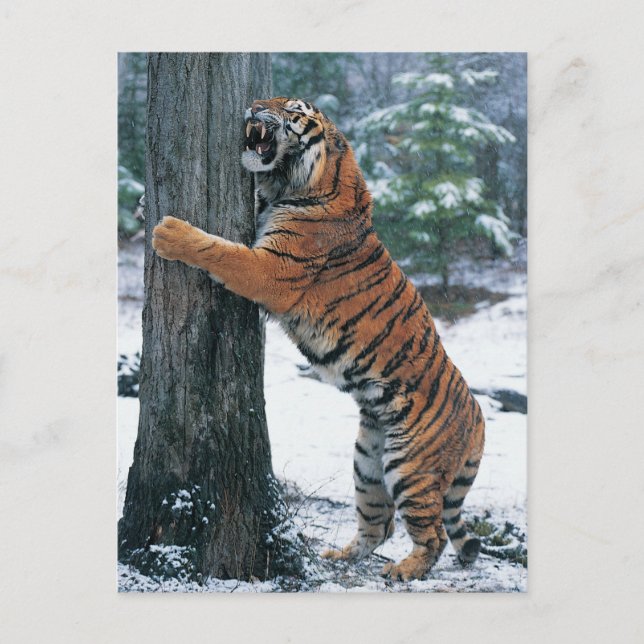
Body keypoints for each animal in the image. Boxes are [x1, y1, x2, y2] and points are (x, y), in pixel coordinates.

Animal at [152, 97, 485, 581]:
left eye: (292, 109)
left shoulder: (270, 270)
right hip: (368, 462)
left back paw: (403, 571)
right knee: (379, 526)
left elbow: (221, 251)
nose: (254, 104)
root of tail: (479, 419)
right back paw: (338, 557)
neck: (292, 185)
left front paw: (169, 232)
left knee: (435, 535)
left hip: (410, 466)